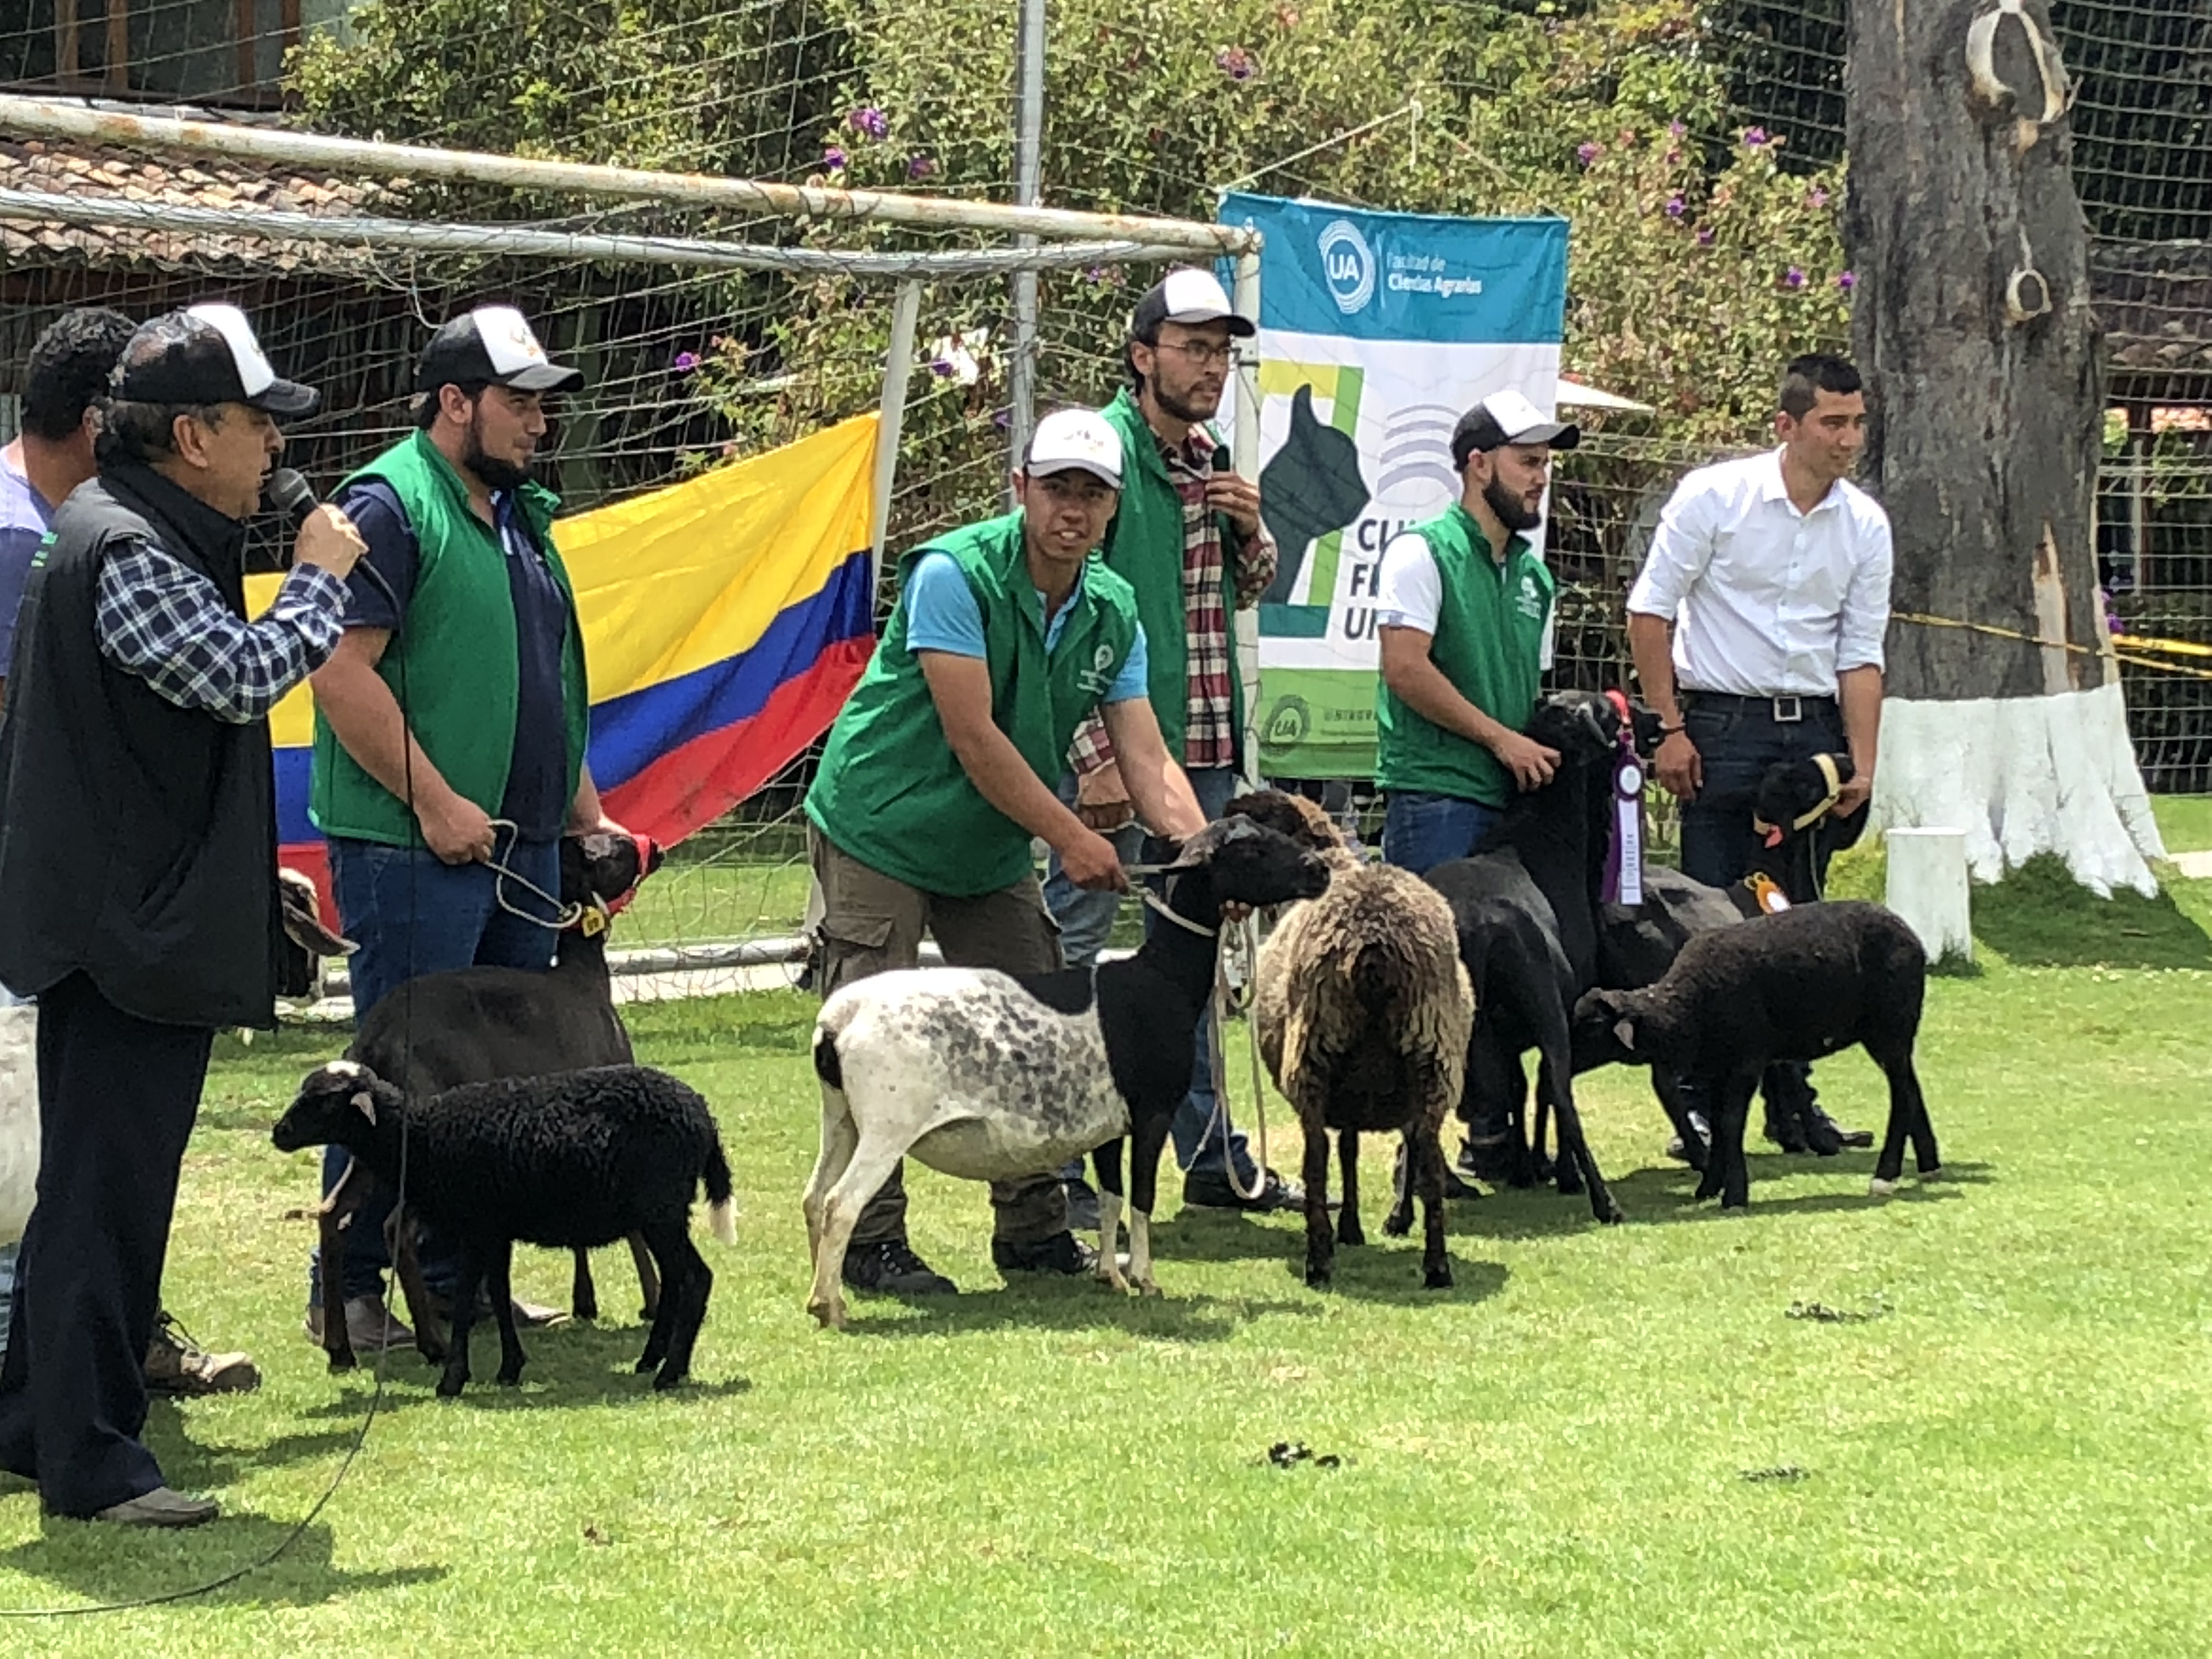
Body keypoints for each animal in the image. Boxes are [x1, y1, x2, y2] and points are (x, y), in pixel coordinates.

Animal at [276, 1066, 734, 1407]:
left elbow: (465, 1301)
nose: (278, 1133)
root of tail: (703, 1116)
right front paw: (509, 1368)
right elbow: (498, 1292)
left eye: (323, 1101)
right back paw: (653, 1360)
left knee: (696, 1277)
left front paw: (452, 1380)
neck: (424, 1138)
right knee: (676, 1279)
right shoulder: (494, 1230)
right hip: (664, 1212)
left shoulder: (476, 1227)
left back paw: (669, 1373)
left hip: (662, 1207)